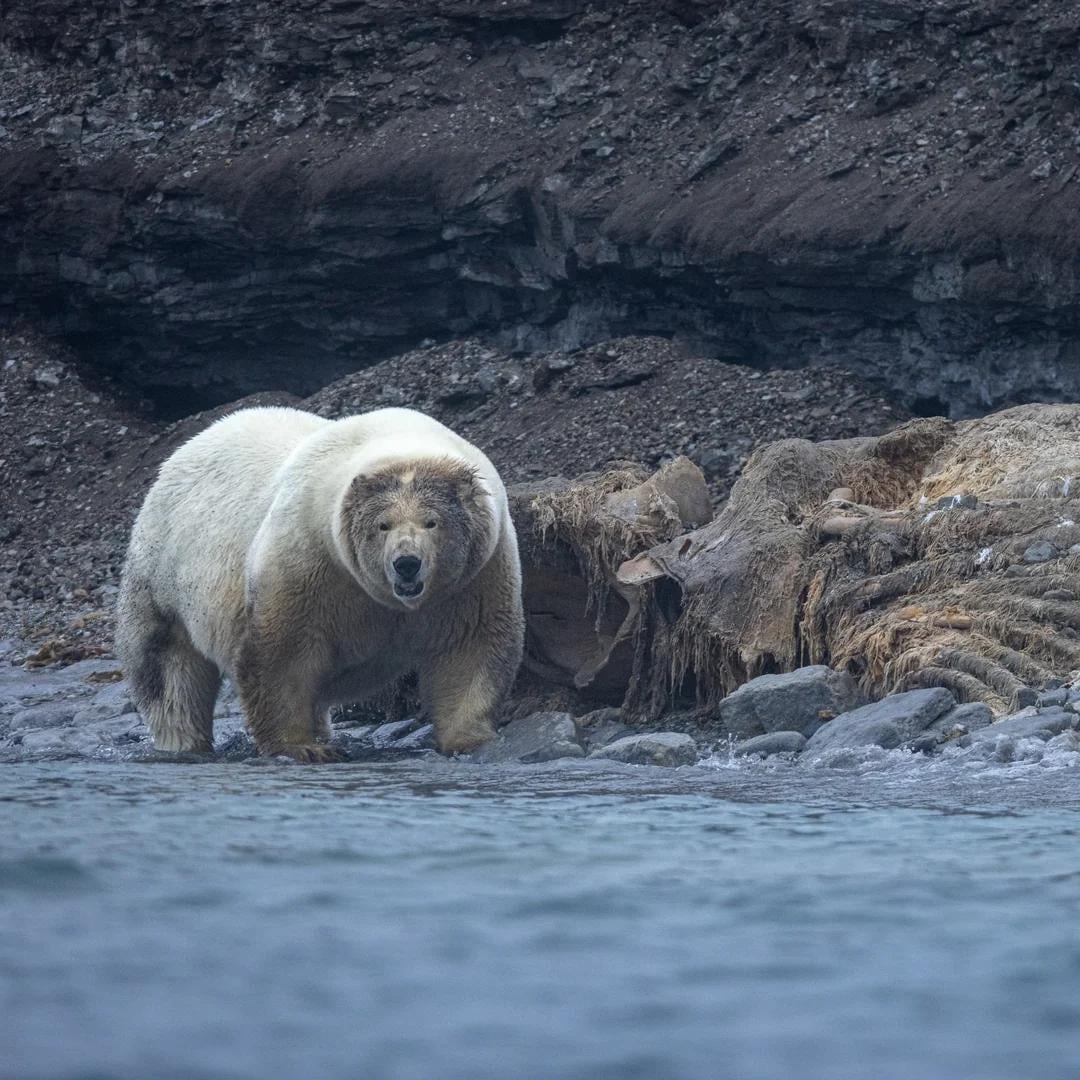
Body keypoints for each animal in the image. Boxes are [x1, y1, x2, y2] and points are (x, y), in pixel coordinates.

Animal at [115, 406, 524, 761]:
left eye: (431, 522)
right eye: (383, 525)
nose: (406, 564)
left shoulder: (476, 573)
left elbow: (470, 647)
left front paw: (470, 739)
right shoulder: (308, 555)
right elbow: (282, 653)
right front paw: (302, 748)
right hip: (163, 575)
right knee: (170, 674)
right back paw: (184, 743)